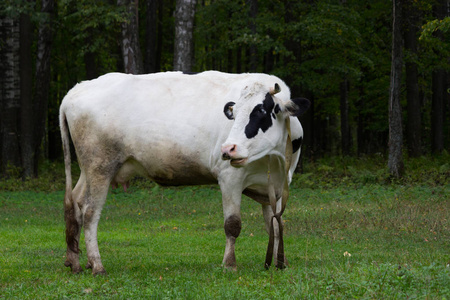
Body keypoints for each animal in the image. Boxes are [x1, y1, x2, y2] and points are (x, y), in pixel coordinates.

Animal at [59, 70, 310, 274]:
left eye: (262, 111)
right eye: (234, 113)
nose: (228, 148)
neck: (273, 160)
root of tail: (77, 89)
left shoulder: (277, 184)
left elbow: (275, 224)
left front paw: (280, 262)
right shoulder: (229, 177)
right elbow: (233, 225)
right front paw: (229, 264)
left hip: (88, 170)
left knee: (75, 204)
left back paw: (76, 262)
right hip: (100, 166)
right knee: (90, 212)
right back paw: (97, 265)